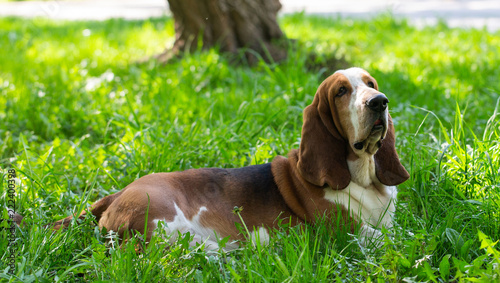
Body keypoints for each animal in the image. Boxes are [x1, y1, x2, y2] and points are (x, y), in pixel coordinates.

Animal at [14, 67, 410, 250]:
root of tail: (114, 196)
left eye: (371, 84)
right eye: (342, 92)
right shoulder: (345, 232)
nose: (380, 102)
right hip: (168, 223)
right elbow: (384, 237)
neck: (362, 177)